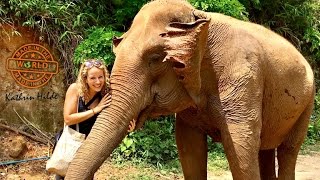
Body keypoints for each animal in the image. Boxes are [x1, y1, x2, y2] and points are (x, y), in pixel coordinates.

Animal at [65, 0, 316, 179]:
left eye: (155, 59)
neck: (199, 18)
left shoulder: (244, 80)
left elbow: (242, 150)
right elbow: (189, 147)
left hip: (308, 102)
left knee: (288, 150)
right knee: (266, 150)